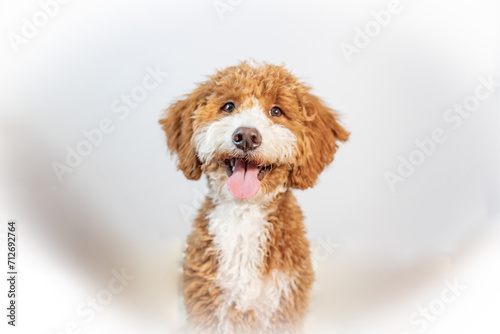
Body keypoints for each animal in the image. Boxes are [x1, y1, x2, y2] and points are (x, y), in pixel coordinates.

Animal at [160, 61, 348, 332]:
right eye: (229, 106)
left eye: (276, 111)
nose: (246, 136)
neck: (244, 214)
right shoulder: (205, 301)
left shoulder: (285, 303)